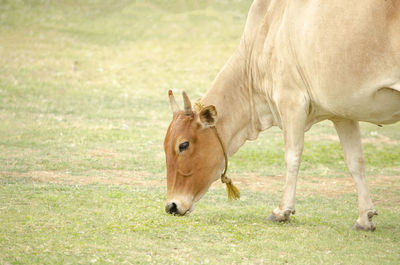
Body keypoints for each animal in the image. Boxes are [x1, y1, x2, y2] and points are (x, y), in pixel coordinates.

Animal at [163, 0, 400, 229]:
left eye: (183, 145)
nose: (171, 206)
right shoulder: (342, 114)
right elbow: (355, 162)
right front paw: (364, 218)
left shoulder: (291, 101)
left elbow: (292, 156)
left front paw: (281, 211)